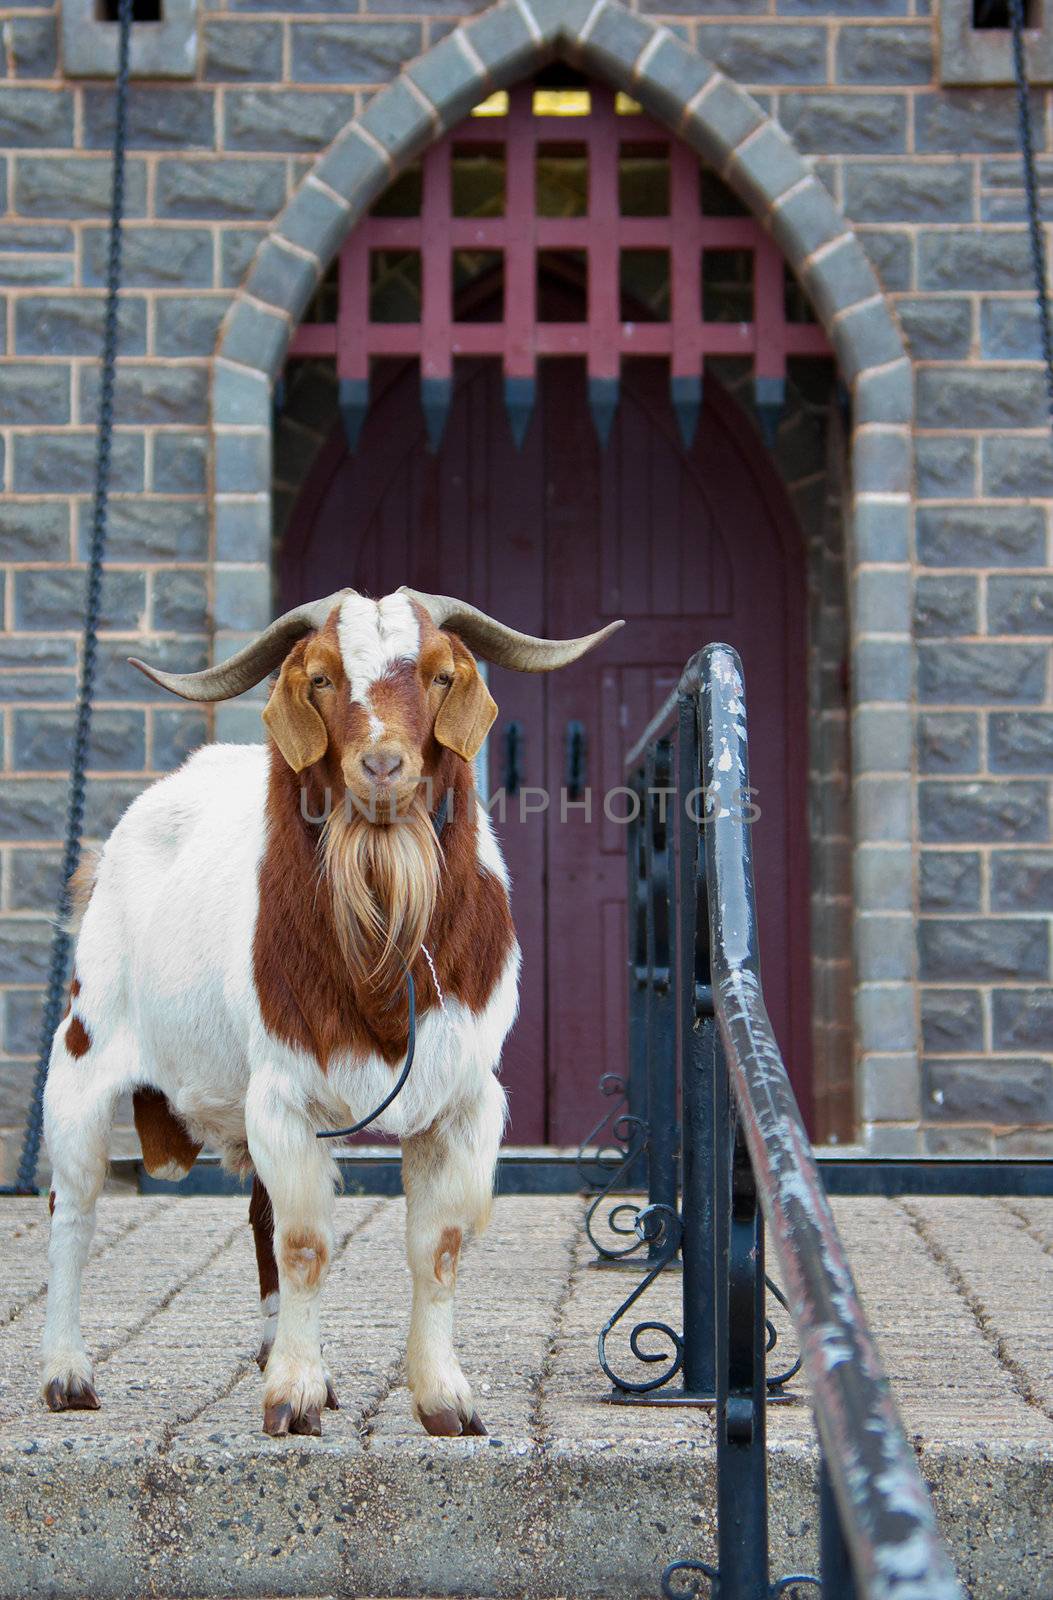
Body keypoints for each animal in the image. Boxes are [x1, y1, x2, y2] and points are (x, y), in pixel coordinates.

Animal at [41, 585, 617, 1440]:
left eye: (440, 674)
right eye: (318, 677)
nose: (381, 766)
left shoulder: (466, 1099)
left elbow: (437, 1244)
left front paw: (443, 1400)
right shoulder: (283, 1092)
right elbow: (307, 1243)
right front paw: (294, 1395)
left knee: (255, 1215)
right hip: (83, 1055)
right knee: (73, 1205)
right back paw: (66, 1374)